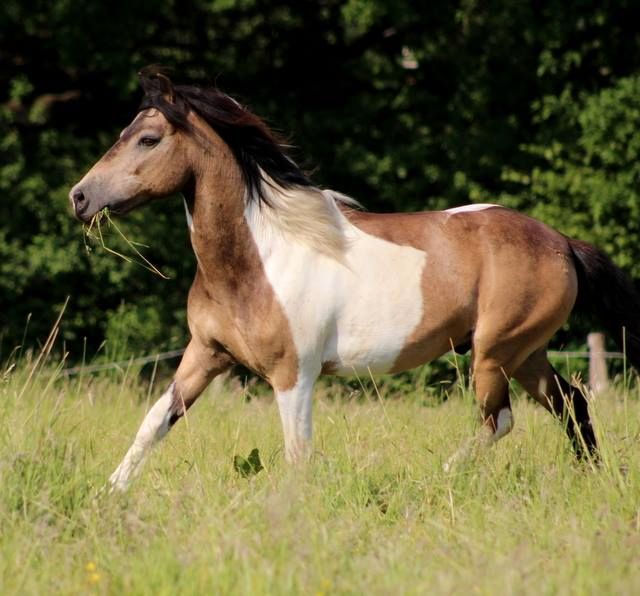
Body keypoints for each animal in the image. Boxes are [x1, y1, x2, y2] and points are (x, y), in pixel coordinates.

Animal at [70, 70, 640, 492]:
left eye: (148, 139)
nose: (79, 197)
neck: (257, 261)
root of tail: (562, 243)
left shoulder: (293, 375)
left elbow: (297, 452)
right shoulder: (205, 355)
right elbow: (155, 421)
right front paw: (108, 493)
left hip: (495, 352)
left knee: (500, 420)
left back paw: (439, 479)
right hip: (526, 353)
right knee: (571, 403)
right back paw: (591, 480)